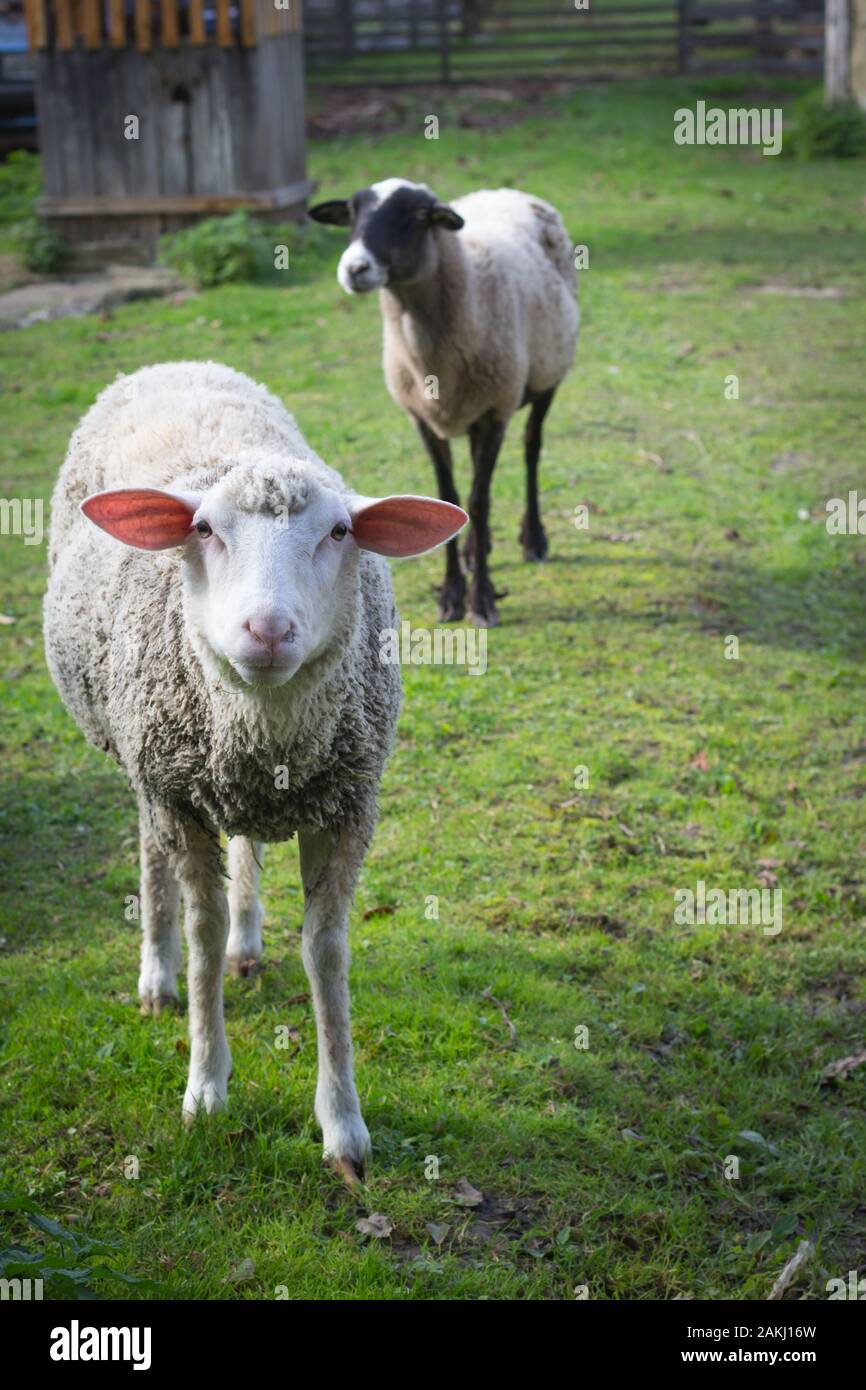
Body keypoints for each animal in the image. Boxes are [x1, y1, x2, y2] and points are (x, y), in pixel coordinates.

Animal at [43, 360, 466, 1184]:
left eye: (340, 531)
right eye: (205, 529)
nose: (267, 630)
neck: (266, 730)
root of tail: (176, 363)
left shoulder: (347, 806)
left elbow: (326, 953)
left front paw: (343, 1125)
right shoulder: (176, 793)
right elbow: (200, 933)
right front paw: (206, 1088)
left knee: (244, 841)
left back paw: (247, 941)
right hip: (144, 760)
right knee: (151, 850)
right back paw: (157, 975)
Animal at [309, 178, 579, 627]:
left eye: (419, 216)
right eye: (350, 212)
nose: (355, 268)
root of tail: (505, 191)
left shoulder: (496, 411)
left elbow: (480, 501)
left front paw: (481, 600)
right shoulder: (422, 417)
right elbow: (450, 497)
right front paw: (453, 593)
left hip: (548, 376)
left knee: (531, 448)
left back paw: (533, 539)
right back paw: (475, 550)